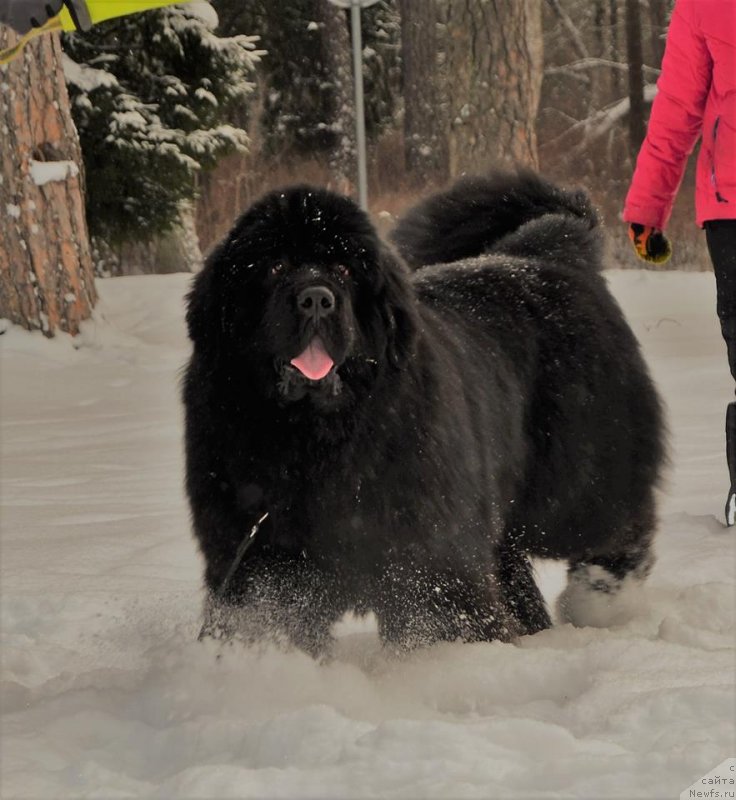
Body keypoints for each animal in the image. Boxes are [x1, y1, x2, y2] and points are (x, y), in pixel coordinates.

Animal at [181, 170, 664, 656]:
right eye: (275, 267)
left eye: (343, 270)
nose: (316, 299)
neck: (319, 437)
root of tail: (544, 250)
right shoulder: (261, 552)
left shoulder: (428, 557)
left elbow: (442, 613)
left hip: (576, 473)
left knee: (615, 523)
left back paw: (600, 601)